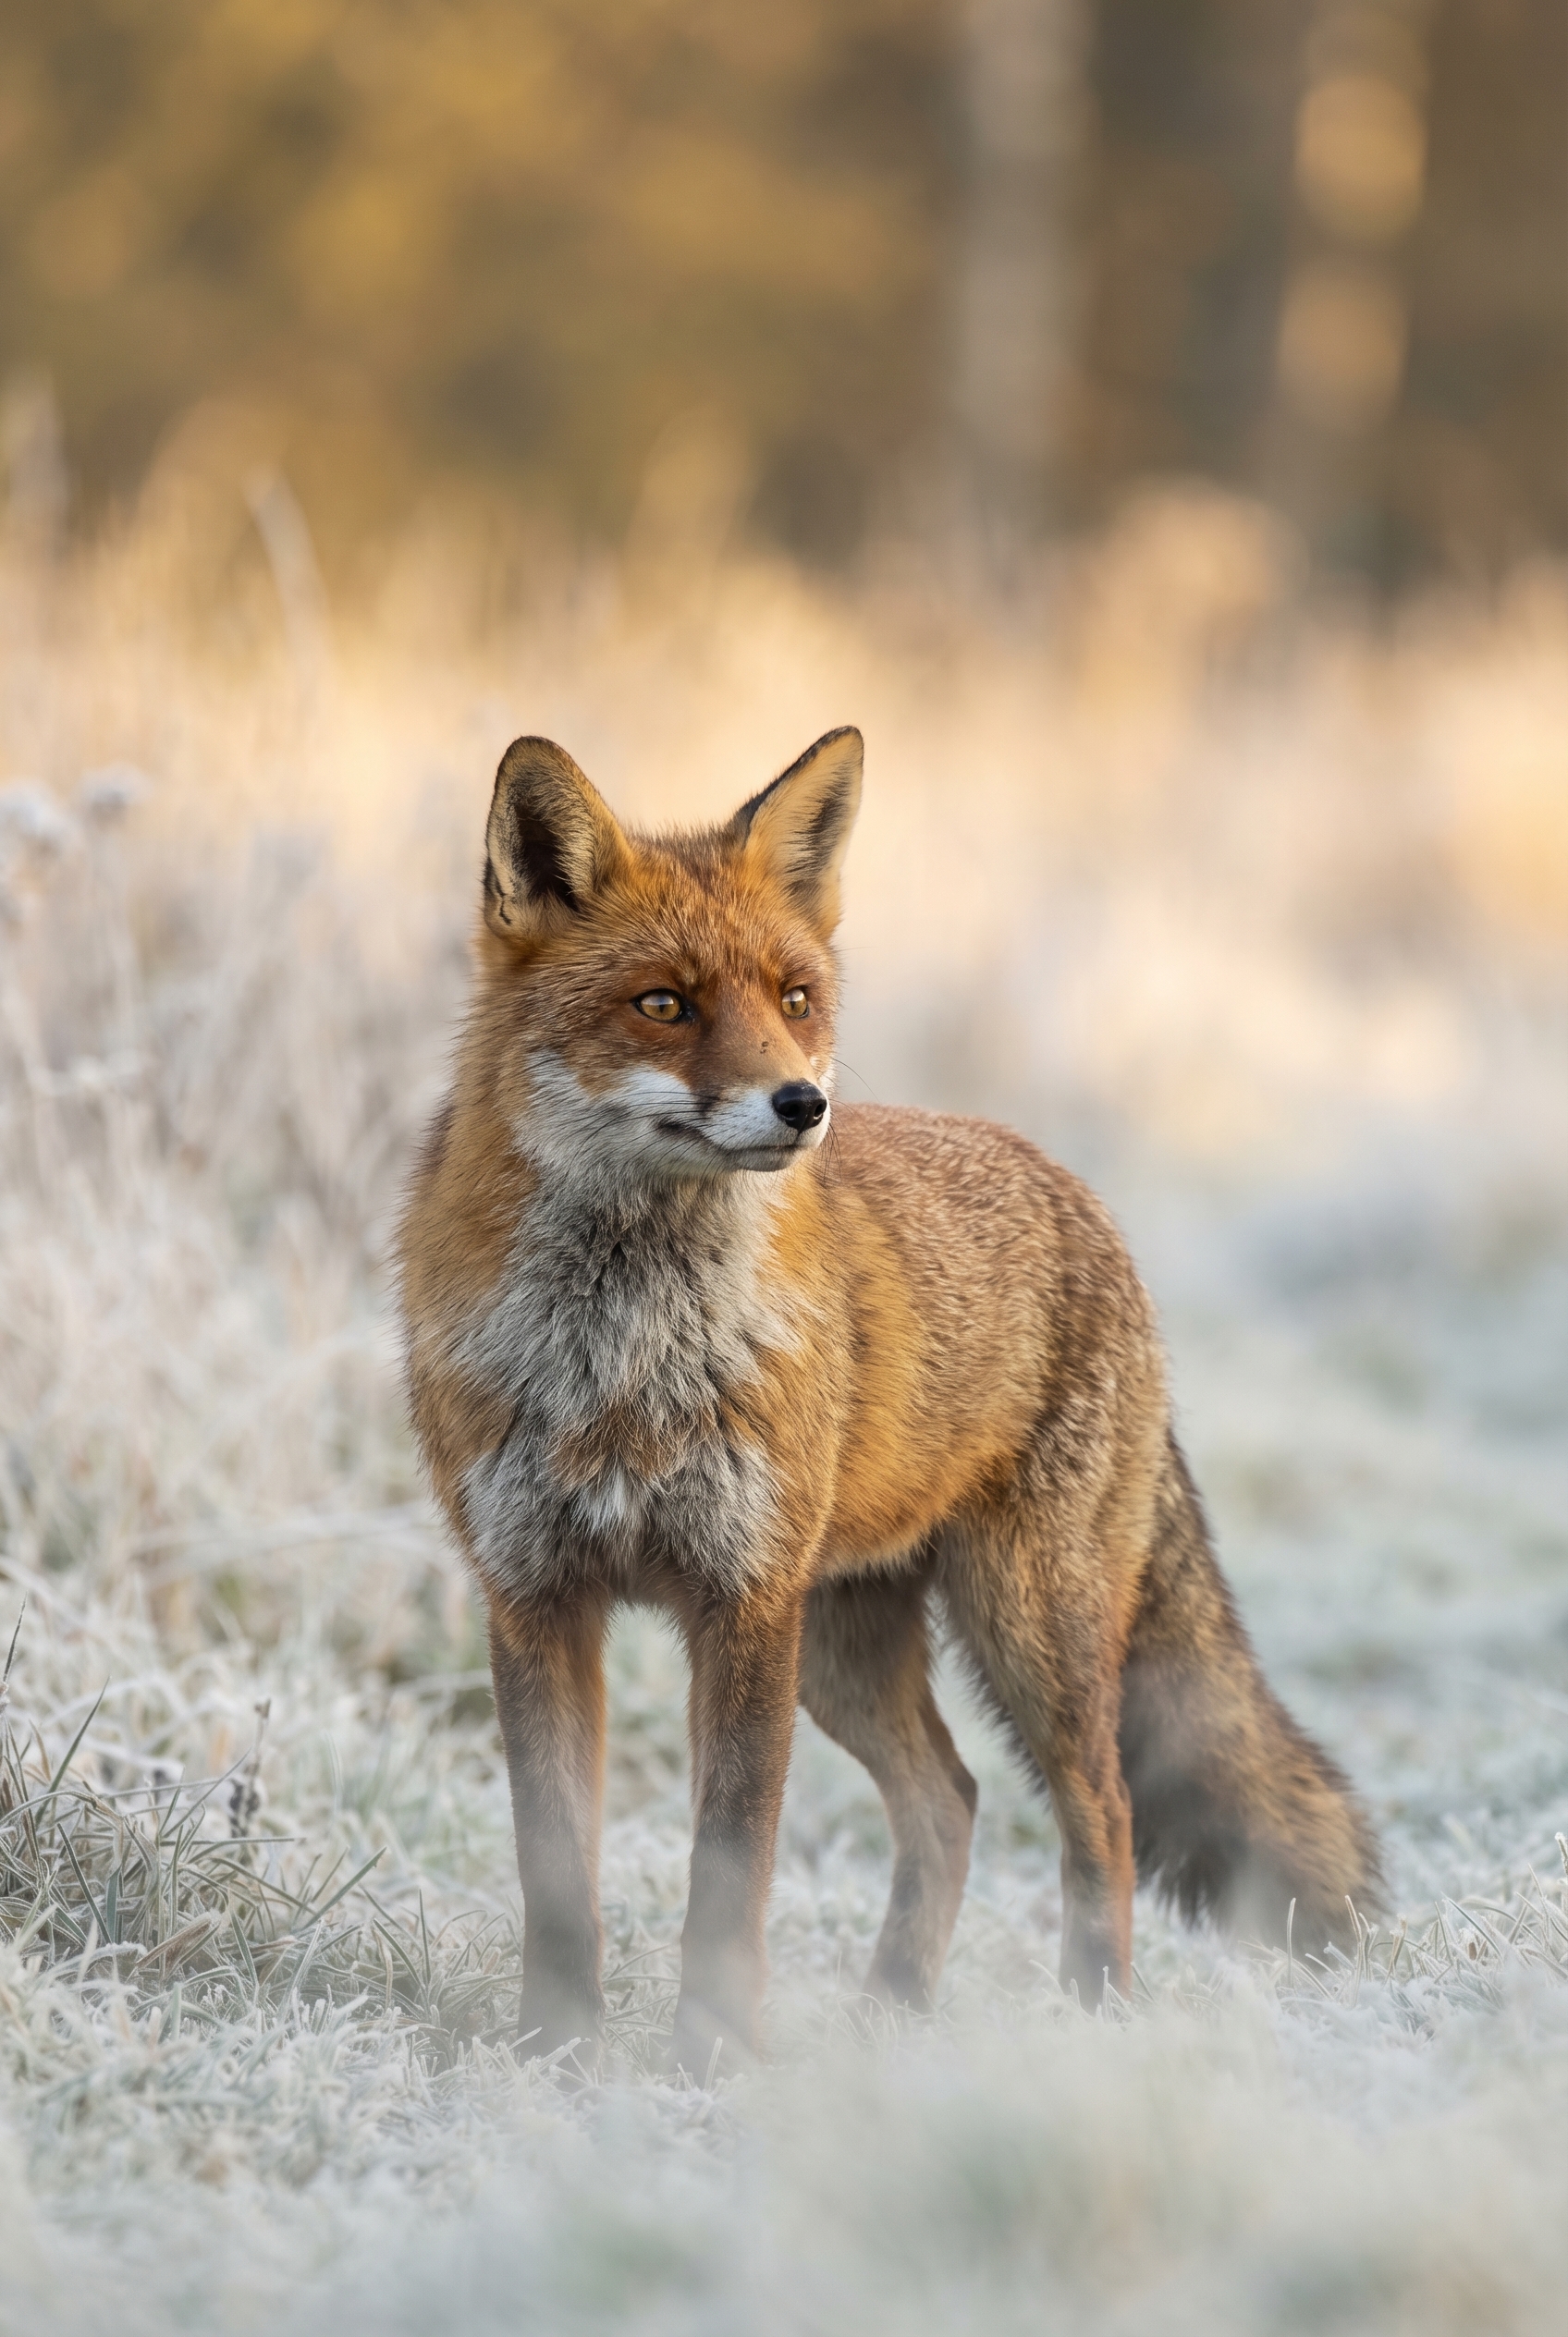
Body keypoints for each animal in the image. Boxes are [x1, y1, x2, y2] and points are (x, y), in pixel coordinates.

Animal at [396, 724, 1383, 2075]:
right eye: (665, 1004)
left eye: (794, 1000)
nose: (802, 1105)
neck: (625, 1368)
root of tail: (1076, 1194)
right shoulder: (536, 1596)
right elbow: (557, 1877)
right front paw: (554, 2053)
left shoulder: (742, 1603)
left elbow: (729, 1869)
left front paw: (714, 2055)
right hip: (849, 1652)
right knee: (951, 1802)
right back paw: (896, 2013)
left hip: (1023, 1631)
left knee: (1106, 1813)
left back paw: (1097, 2019)